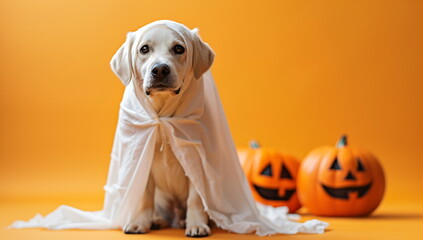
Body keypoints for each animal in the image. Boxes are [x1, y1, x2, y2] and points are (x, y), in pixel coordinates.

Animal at [111, 21, 215, 237]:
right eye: (144, 49)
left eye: (179, 49)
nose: (159, 69)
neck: (163, 116)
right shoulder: (142, 156)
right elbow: (144, 198)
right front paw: (139, 222)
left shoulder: (196, 161)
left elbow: (195, 198)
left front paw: (196, 224)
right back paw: (157, 220)